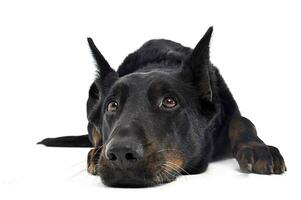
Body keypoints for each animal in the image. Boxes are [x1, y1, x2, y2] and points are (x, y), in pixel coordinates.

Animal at [38, 27, 286, 188]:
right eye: (112, 105)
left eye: (169, 101)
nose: (120, 154)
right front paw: (99, 153)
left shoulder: (229, 109)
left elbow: (243, 122)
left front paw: (257, 147)